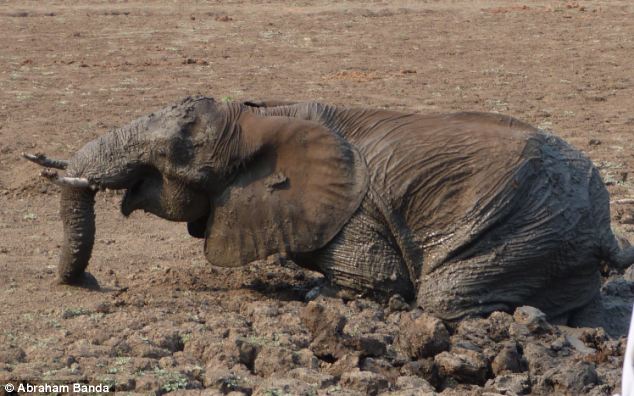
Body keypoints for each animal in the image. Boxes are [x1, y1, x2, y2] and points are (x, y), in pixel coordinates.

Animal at [24, 96, 632, 324]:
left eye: (175, 152)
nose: (92, 284)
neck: (262, 116)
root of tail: (605, 228)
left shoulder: (356, 214)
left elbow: (377, 281)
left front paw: (324, 299)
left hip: (533, 227)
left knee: (447, 297)